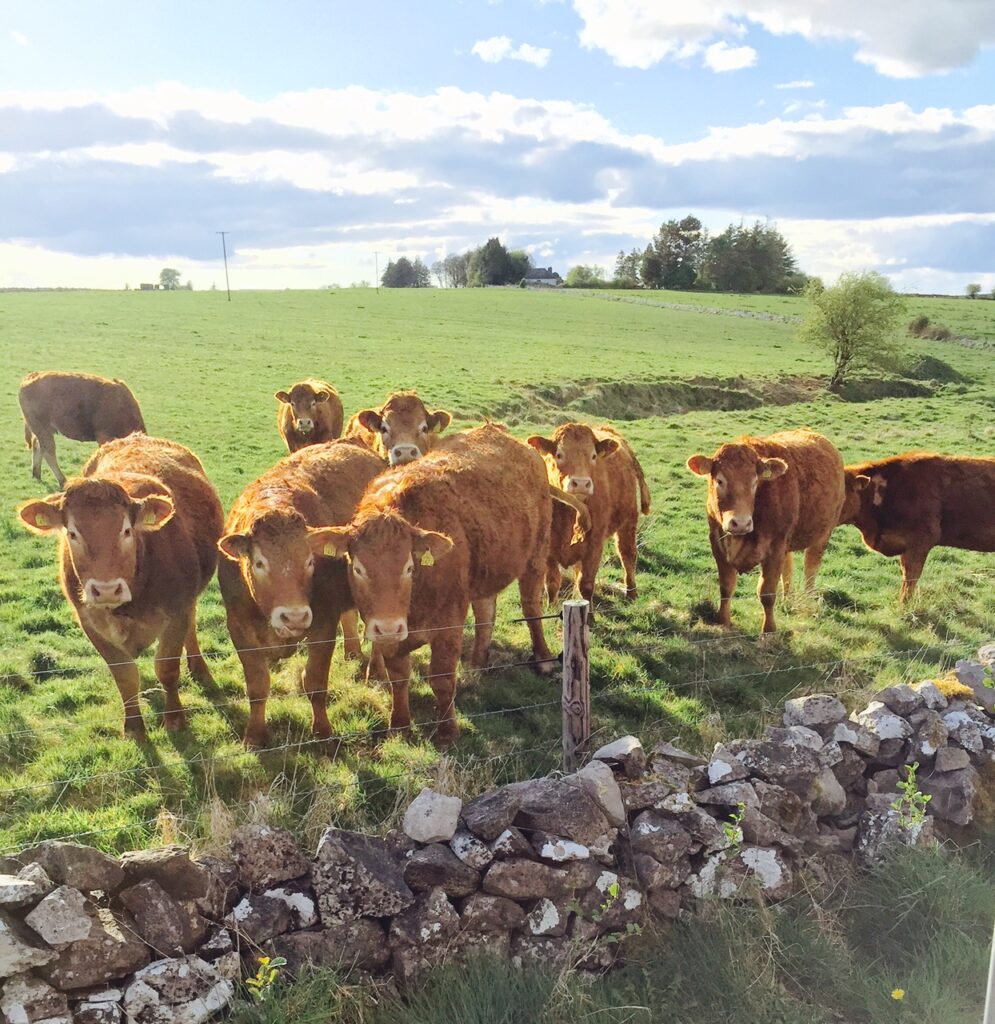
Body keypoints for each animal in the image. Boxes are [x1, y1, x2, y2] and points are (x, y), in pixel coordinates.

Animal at [16, 434, 222, 739]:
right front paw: (134, 725)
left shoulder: (176, 614)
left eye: (126, 530)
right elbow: (125, 676)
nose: (106, 590)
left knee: (192, 626)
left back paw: (199, 668)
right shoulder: (90, 624)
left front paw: (174, 718)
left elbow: (167, 668)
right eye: (72, 533)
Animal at [217, 438, 385, 747]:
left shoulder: (323, 626)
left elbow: (315, 683)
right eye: (259, 563)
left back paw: (376, 669)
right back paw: (353, 652)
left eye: (309, 561)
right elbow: (257, 686)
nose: (293, 617)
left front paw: (322, 732)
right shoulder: (239, 630)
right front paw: (254, 734)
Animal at [321, 423, 570, 745]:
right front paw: (399, 724)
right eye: (358, 568)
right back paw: (477, 662)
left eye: (409, 567)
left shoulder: (449, 623)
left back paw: (543, 659)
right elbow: (398, 675)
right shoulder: (390, 634)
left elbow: (440, 678)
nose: (388, 627)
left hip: (535, 557)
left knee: (531, 608)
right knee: (486, 613)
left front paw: (447, 731)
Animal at [528, 423, 651, 606]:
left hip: (628, 522)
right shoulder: (549, 546)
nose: (581, 483)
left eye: (593, 456)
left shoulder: (594, 544)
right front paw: (552, 606)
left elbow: (585, 584)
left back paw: (631, 594)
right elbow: (552, 581)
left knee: (628, 556)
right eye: (559, 454)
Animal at [686, 429, 844, 633]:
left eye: (755, 481)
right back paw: (787, 600)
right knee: (788, 567)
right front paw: (723, 621)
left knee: (811, 567)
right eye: (720, 480)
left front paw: (769, 630)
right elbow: (726, 586)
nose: (740, 523)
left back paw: (807, 599)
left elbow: (766, 593)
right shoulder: (718, 544)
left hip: (823, 533)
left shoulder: (774, 549)